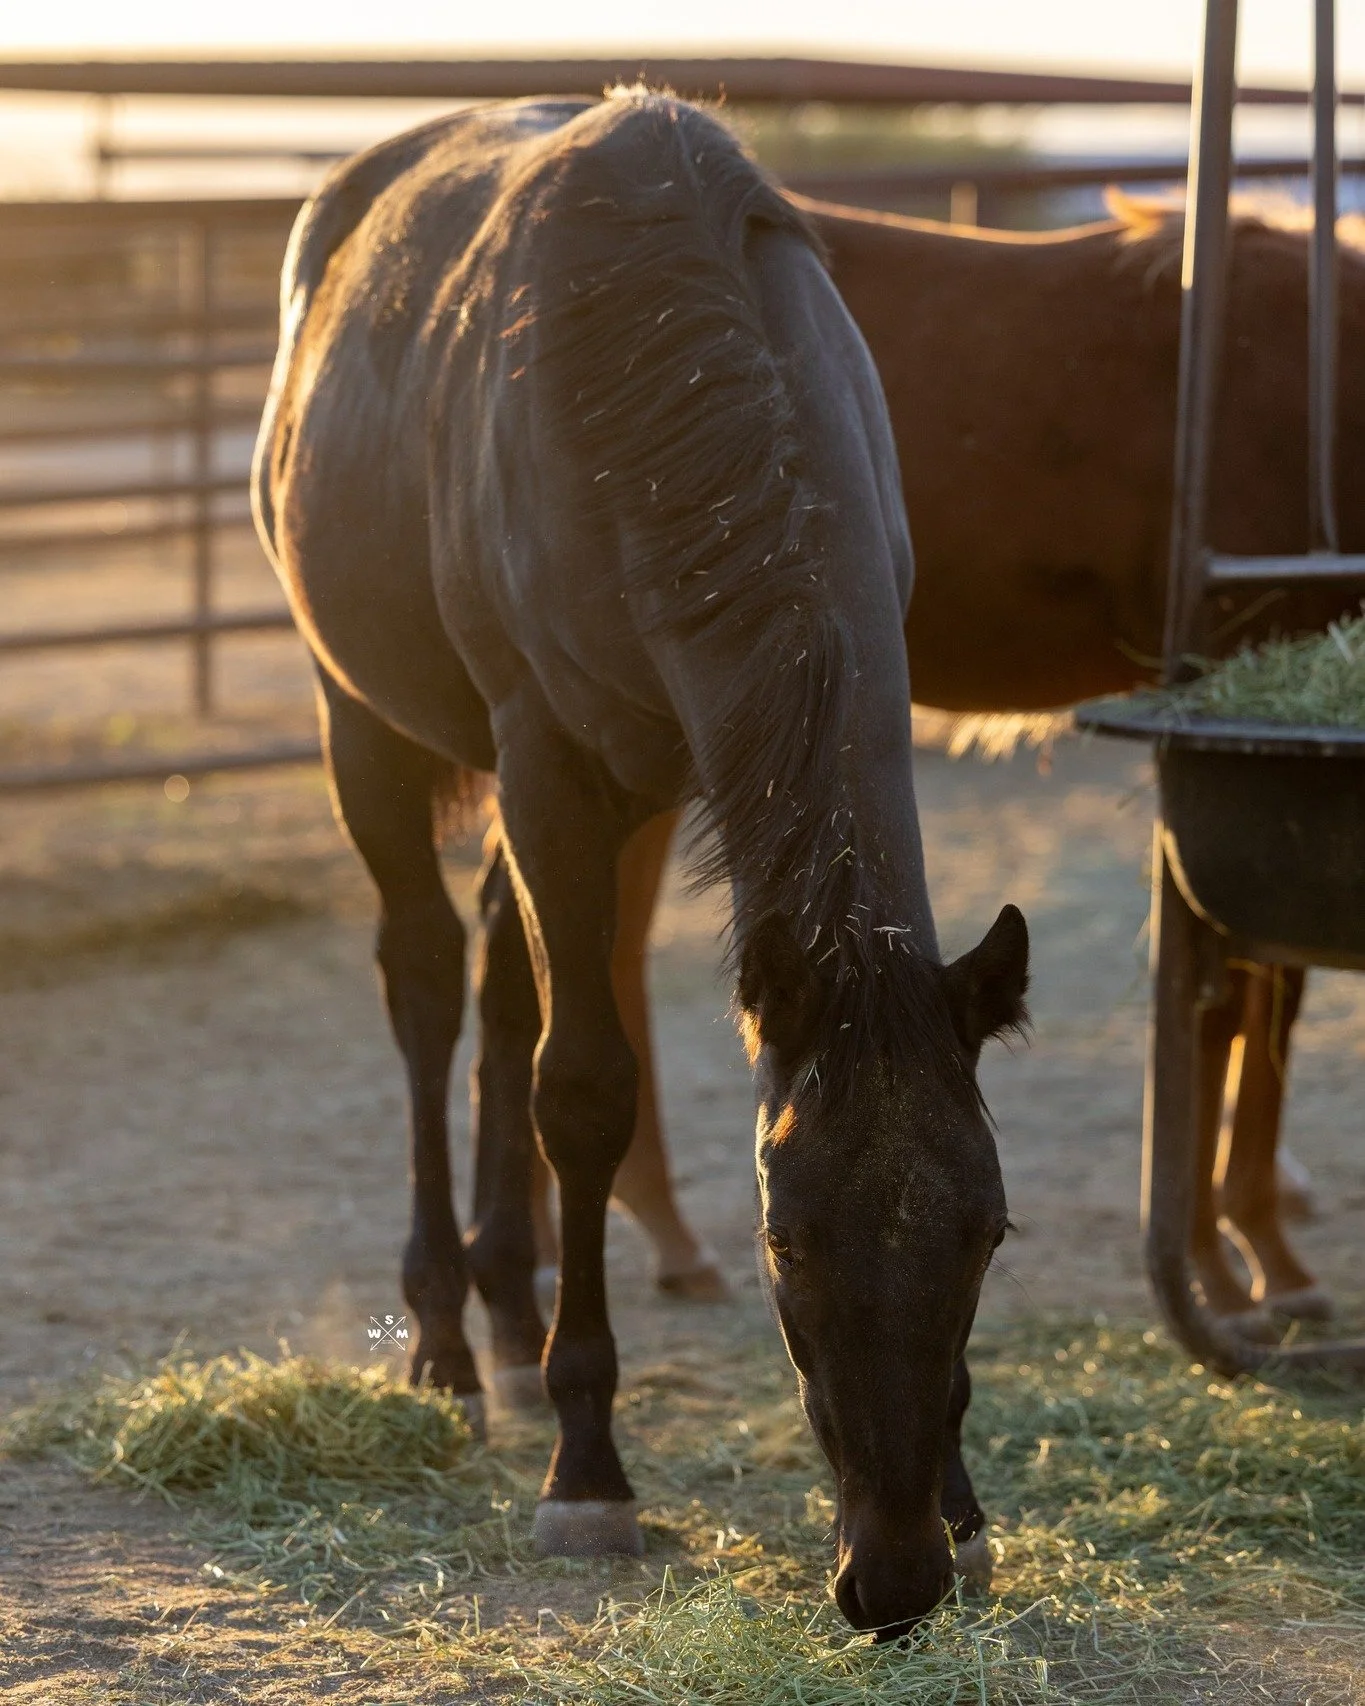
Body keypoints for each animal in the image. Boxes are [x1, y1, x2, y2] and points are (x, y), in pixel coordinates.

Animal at [253, 91, 1029, 1633]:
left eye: (984, 1234)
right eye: (785, 1241)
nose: (894, 1572)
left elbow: (547, 1032)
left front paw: (969, 1509)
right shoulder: (553, 766)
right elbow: (586, 1088)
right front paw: (587, 1470)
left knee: (501, 978)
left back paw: (506, 1300)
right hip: (365, 725)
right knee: (428, 981)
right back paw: (446, 1337)